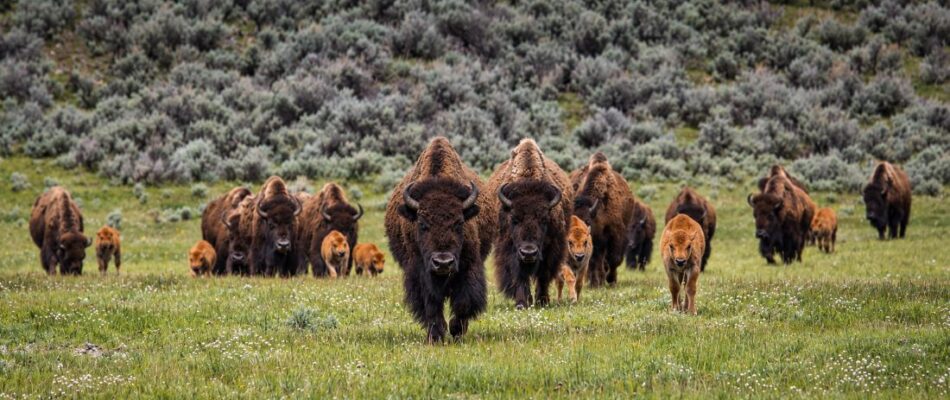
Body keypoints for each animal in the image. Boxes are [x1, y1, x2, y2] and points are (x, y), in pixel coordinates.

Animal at [384, 137, 496, 343]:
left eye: (459, 223)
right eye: (422, 223)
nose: (443, 262)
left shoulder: (469, 266)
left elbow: (464, 302)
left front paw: (456, 331)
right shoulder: (421, 272)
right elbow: (431, 304)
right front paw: (436, 335)